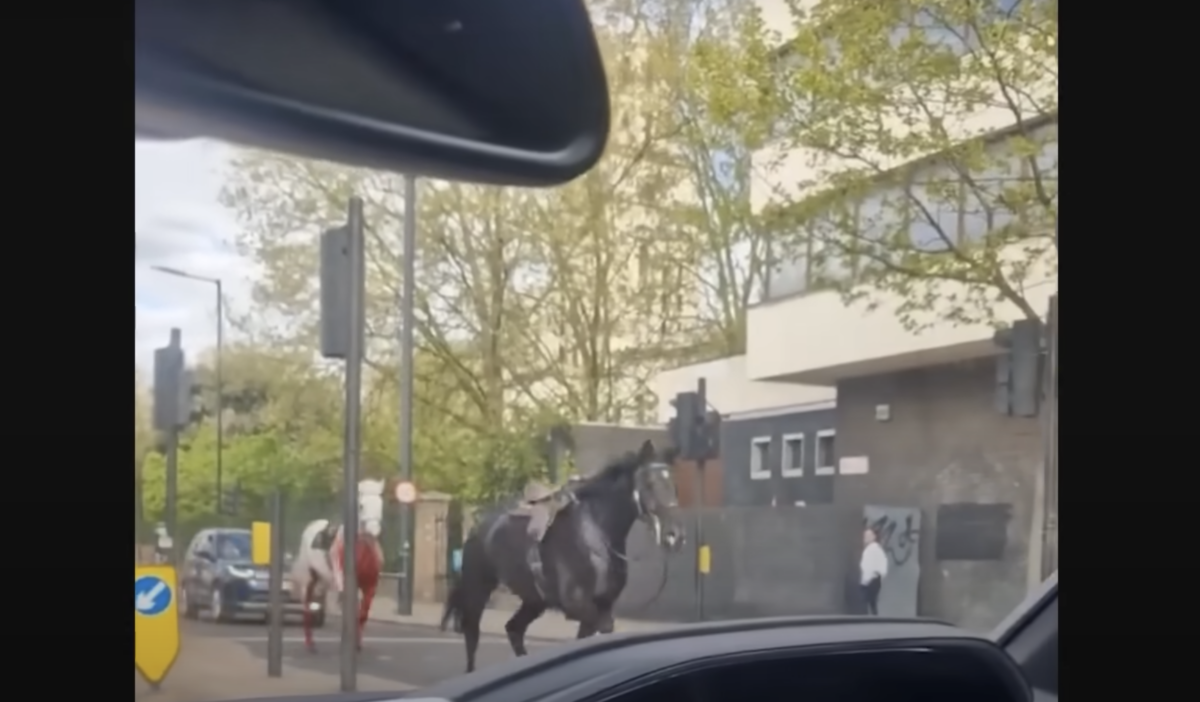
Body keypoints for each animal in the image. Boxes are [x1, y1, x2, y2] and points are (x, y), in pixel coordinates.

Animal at [290, 475, 384, 652]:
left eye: (380, 503)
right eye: (361, 505)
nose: (374, 530)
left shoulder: (370, 586)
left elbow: (362, 615)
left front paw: (357, 644)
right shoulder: (345, 584)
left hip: (324, 581)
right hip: (309, 580)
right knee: (307, 607)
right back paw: (309, 643)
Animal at [441, 436, 686, 672]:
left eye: (673, 486)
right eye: (650, 483)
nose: (675, 535)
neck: (596, 536)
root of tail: (479, 526)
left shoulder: (604, 608)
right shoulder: (581, 608)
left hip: (534, 600)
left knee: (514, 630)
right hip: (478, 589)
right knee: (472, 633)